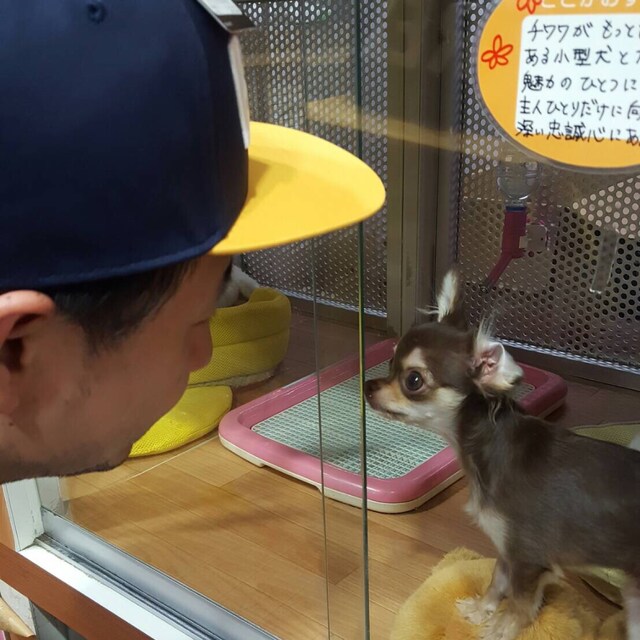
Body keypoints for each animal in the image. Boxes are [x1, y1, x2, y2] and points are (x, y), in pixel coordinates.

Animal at [365, 270, 640, 640]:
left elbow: (521, 605)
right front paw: (481, 609)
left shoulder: (529, 558)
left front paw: (500, 628)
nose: (367, 387)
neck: (489, 446)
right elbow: (497, 580)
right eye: (390, 360)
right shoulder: (507, 550)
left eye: (413, 380)